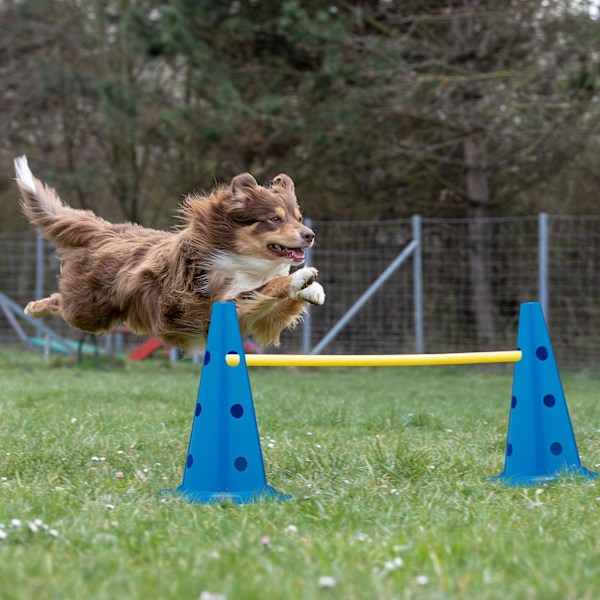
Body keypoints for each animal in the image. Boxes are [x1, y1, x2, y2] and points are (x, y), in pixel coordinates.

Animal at [14, 156, 324, 352]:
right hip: (88, 312)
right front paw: (301, 279)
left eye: (298, 218)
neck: (245, 262)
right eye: (275, 219)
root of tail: (105, 231)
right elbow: (265, 287)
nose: (310, 235)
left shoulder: (261, 321)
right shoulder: (210, 305)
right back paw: (34, 307)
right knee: (60, 302)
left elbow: (277, 299)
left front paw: (311, 289)